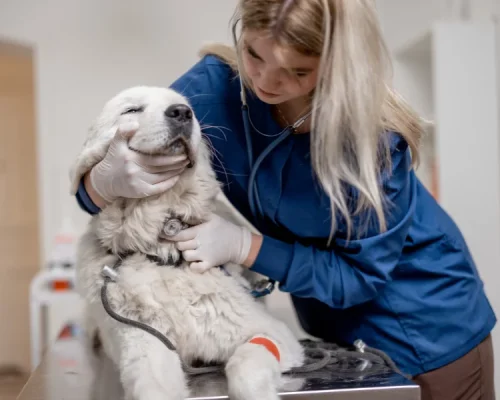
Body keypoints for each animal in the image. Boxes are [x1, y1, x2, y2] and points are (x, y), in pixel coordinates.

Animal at [69, 86, 304, 398]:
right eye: (132, 110)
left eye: (185, 106)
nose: (181, 112)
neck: (162, 250)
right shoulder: (145, 342)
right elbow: (149, 387)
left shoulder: (272, 334)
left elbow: (246, 367)